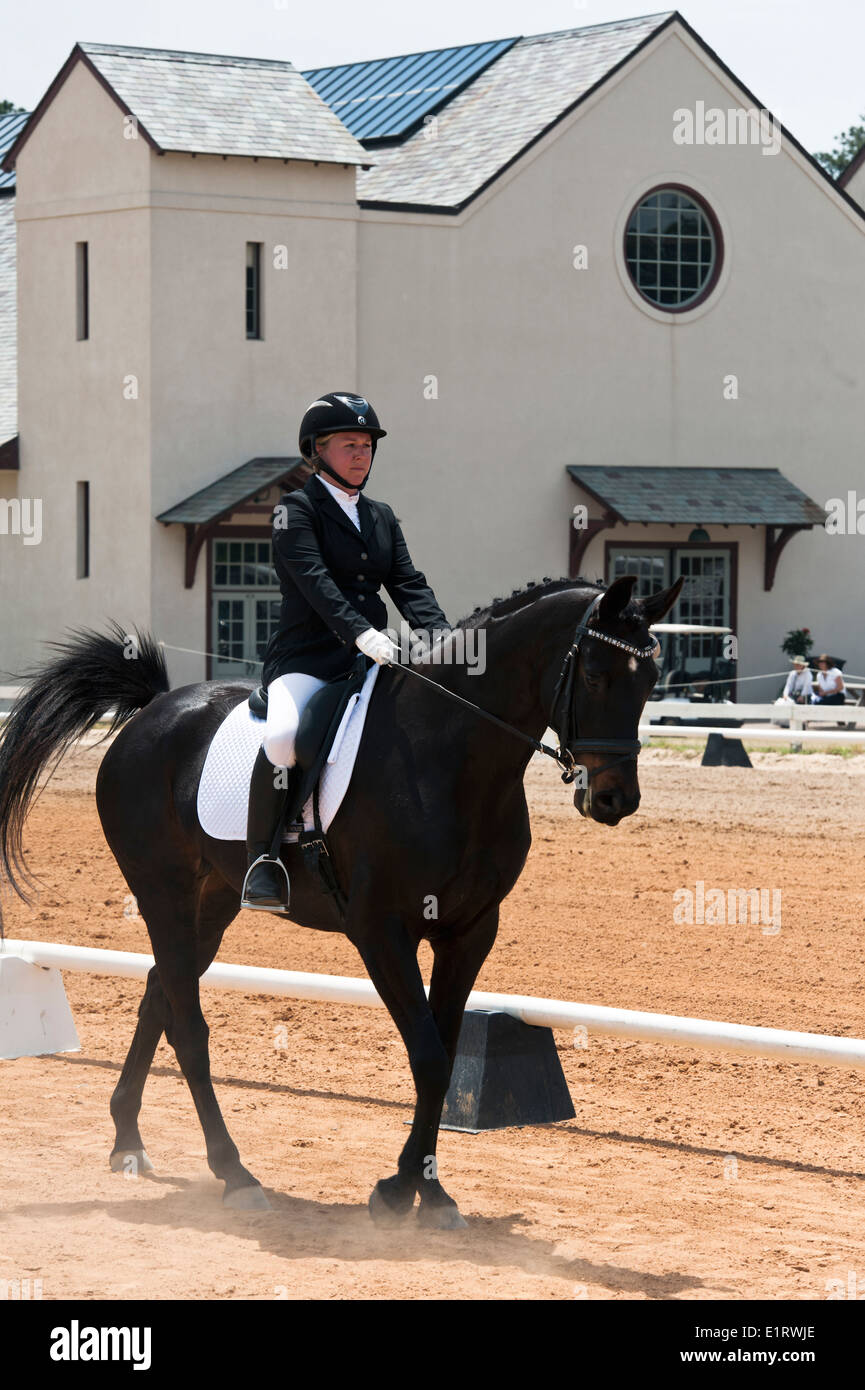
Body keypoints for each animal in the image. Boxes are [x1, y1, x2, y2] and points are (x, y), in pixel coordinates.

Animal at [0, 575, 684, 1228]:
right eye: (594, 674)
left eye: (651, 678)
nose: (615, 799)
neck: (450, 758)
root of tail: (154, 711)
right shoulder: (381, 931)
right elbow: (429, 1058)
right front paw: (398, 1192)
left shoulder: (469, 931)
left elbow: (443, 1051)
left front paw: (429, 1194)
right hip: (161, 891)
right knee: (188, 1026)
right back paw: (235, 1175)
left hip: (213, 900)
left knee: (159, 992)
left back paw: (128, 1142)